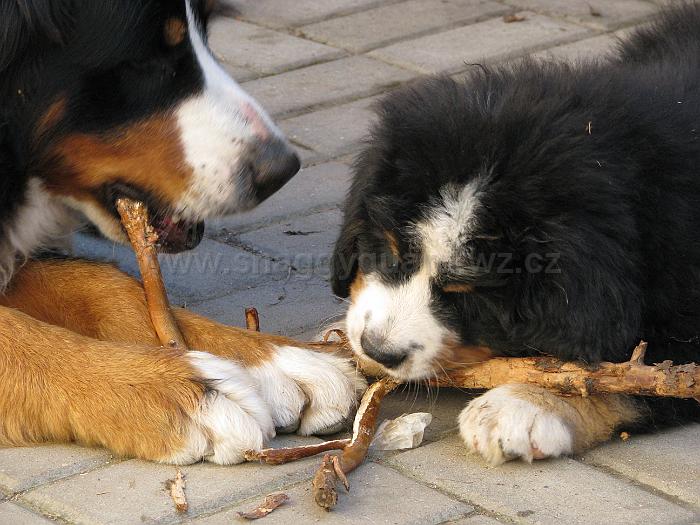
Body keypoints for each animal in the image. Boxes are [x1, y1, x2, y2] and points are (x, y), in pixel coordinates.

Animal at [1, 0, 366, 464]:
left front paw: (275, 360)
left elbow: (101, 282)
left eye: (206, 35)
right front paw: (169, 389)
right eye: (144, 60)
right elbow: (13, 332)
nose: (280, 170)